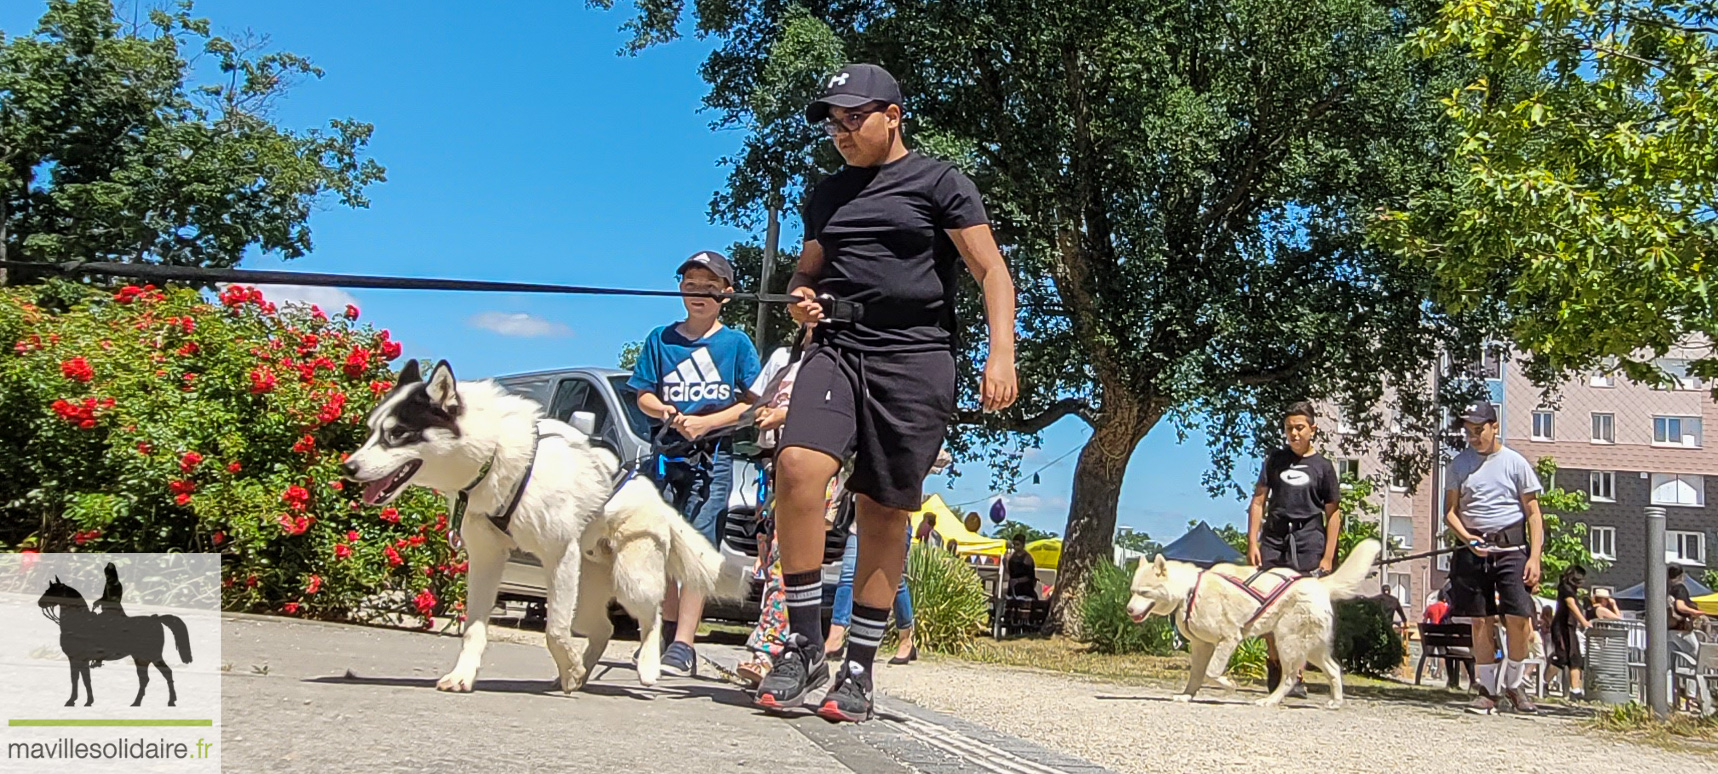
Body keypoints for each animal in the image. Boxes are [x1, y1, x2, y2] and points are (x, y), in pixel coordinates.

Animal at [341, 360, 745, 693]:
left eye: (397, 434)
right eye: (372, 431)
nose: (348, 467)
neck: (495, 455)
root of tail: (652, 492)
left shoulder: (560, 557)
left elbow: (554, 631)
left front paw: (570, 666)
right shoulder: (486, 561)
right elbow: (474, 629)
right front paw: (463, 675)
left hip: (632, 580)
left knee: (654, 617)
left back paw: (646, 665)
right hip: (586, 590)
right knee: (603, 629)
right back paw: (580, 673)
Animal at [1127, 538, 1381, 710]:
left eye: (1144, 592)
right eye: (1132, 591)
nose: (1128, 610)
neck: (1189, 590)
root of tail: (1318, 584)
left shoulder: (1228, 639)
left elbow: (1211, 672)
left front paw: (1228, 685)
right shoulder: (1201, 646)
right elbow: (1197, 675)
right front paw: (1187, 696)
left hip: (1288, 644)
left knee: (1290, 677)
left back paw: (1270, 700)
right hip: (1312, 649)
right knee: (1334, 669)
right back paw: (1335, 702)